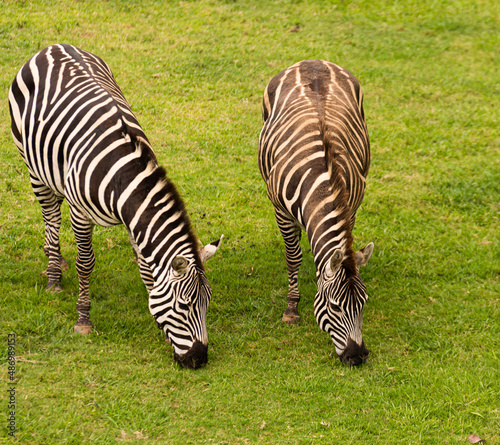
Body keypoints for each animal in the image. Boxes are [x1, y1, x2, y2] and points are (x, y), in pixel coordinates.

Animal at [7, 44, 223, 368]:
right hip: (33, 168)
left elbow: (146, 269)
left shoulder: (136, 222)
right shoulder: (80, 213)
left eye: (207, 303)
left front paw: (156, 319)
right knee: (51, 217)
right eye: (184, 306)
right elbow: (86, 263)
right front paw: (83, 319)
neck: (124, 177)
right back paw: (54, 275)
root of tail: (54, 46)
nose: (199, 360)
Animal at [260, 59, 374, 364]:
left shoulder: (351, 207)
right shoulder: (281, 212)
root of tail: (313, 61)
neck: (324, 182)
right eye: (334, 307)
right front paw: (292, 308)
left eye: (363, 304)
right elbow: (293, 258)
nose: (357, 356)